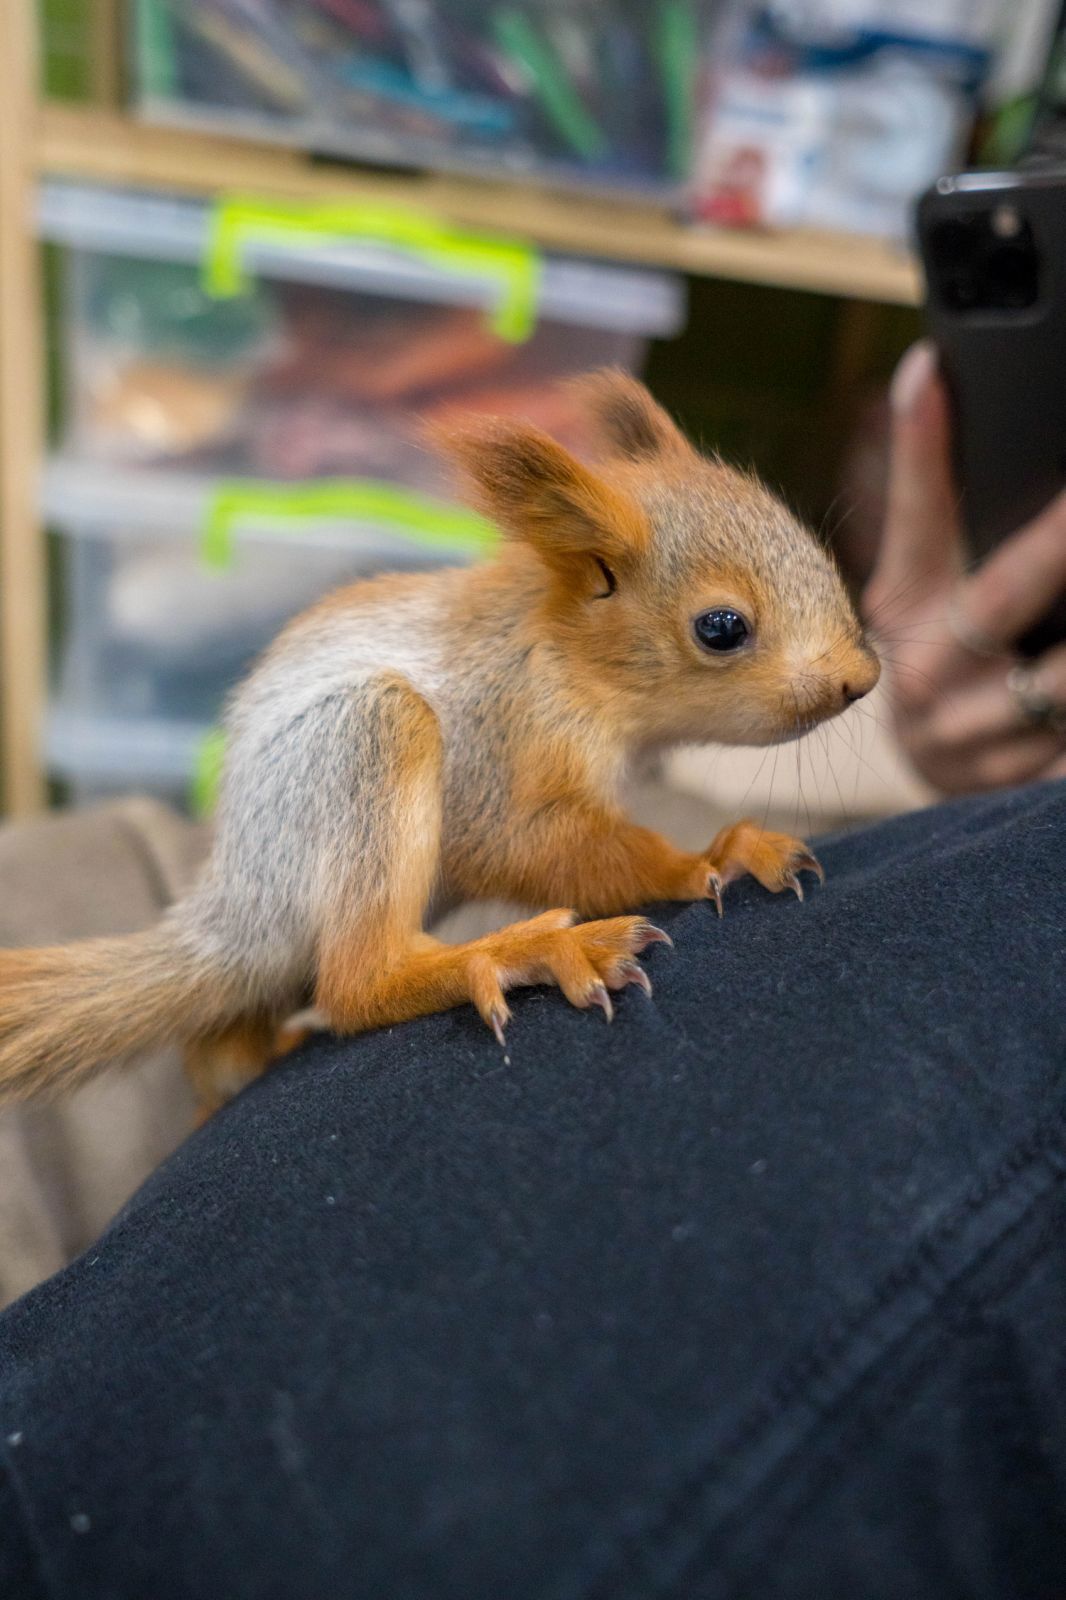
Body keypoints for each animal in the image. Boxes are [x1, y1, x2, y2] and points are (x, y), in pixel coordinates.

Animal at [0, 372, 870, 1113]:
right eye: (721, 628)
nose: (861, 679)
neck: (562, 654)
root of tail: (235, 910)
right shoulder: (505, 745)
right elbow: (544, 845)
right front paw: (707, 858)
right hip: (368, 738)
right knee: (357, 985)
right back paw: (514, 954)